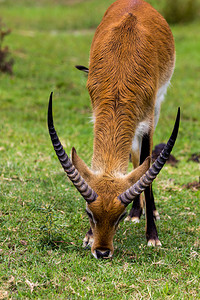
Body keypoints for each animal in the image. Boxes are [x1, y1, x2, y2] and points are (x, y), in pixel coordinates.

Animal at [48, 0, 180, 258]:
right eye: (89, 212)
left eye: (119, 216)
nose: (101, 252)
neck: (121, 69)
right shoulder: (96, 113)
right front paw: (88, 236)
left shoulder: (148, 120)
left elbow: (147, 168)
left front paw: (152, 236)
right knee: (135, 156)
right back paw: (138, 212)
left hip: (157, 108)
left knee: (143, 159)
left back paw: (146, 213)